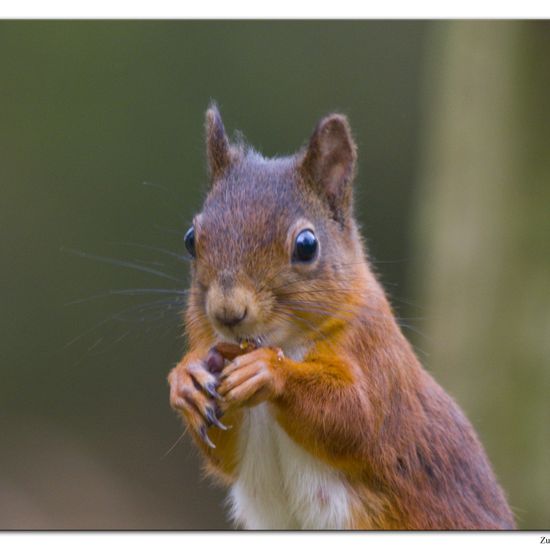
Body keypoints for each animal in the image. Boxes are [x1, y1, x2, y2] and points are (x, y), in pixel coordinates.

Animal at [169, 102, 516, 532]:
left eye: (306, 245)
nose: (228, 311)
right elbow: (224, 456)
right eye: (190, 239)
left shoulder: (377, 359)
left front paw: (268, 371)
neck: (282, 341)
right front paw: (185, 380)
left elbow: (355, 416)